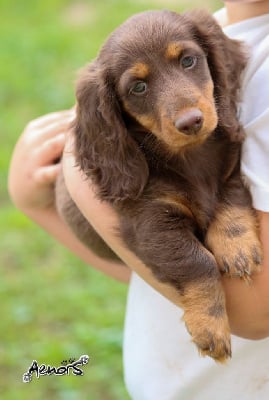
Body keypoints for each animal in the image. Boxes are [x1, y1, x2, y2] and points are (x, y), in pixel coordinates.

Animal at [55, 10, 260, 362]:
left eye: (188, 60)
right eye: (138, 87)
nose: (191, 122)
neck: (189, 157)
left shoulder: (230, 170)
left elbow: (230, 198)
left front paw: (237, 246)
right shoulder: (151, 222)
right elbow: (197, 261)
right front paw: (211, 326)